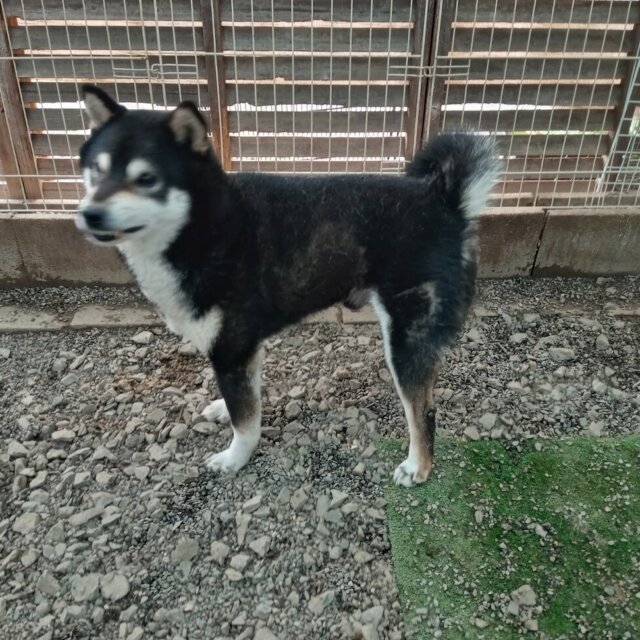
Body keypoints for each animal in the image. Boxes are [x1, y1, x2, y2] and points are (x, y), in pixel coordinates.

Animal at [76, 85, 501, 487]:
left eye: (147, 179)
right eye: (96, 170)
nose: (90, 213)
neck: (207, 226)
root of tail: (444, 199)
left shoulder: (231, 348)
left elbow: (245, 421)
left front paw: (235, 458)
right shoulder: (241, 350)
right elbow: (245, 399)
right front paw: (224, 409)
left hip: (406, 339)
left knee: (423, 411)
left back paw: (418, 466)